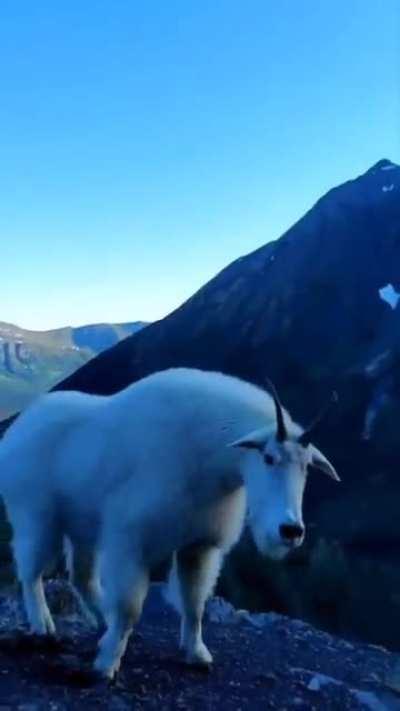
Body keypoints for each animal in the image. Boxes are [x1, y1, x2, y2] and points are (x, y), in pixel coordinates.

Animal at [0, 367, 339, 679]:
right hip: (35, 517)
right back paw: (43, 625)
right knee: (30, 573)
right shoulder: (130, 540)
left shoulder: (199, 547)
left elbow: (195, 603)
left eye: (307, 466)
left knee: (81, 576)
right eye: (268, 457)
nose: (290, 530)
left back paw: (102, 623)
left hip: (82, 527)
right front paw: (106, 665)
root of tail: (18, 428)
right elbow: (129, 607)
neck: (208, 458)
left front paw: (197, 654)